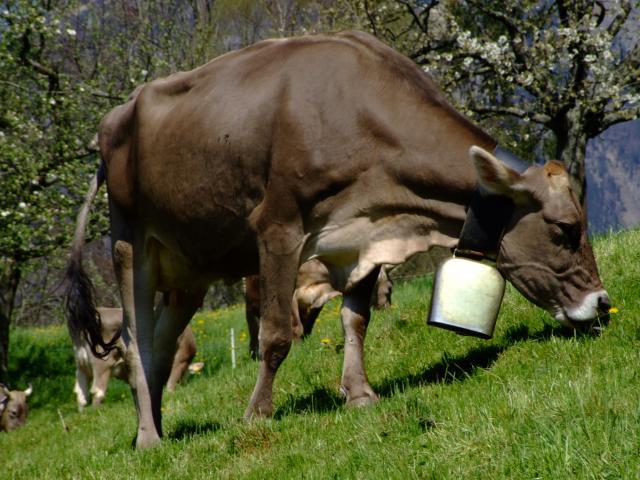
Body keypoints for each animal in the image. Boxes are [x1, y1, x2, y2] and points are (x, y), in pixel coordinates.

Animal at [69, 306, 200, 410]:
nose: (184, 384)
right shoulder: (181, 359)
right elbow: (170, 385)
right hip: (102, 364)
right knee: (97, 391)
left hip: (82, 365)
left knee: (81, 394)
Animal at [245, 259, 393, 359]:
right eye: (390, 288)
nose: (389, 310)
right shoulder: (289, 296)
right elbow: (296, 326)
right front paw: (297, 350)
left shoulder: (317, 301)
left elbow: (307, 326)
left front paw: (303, 344)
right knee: (255, 333)